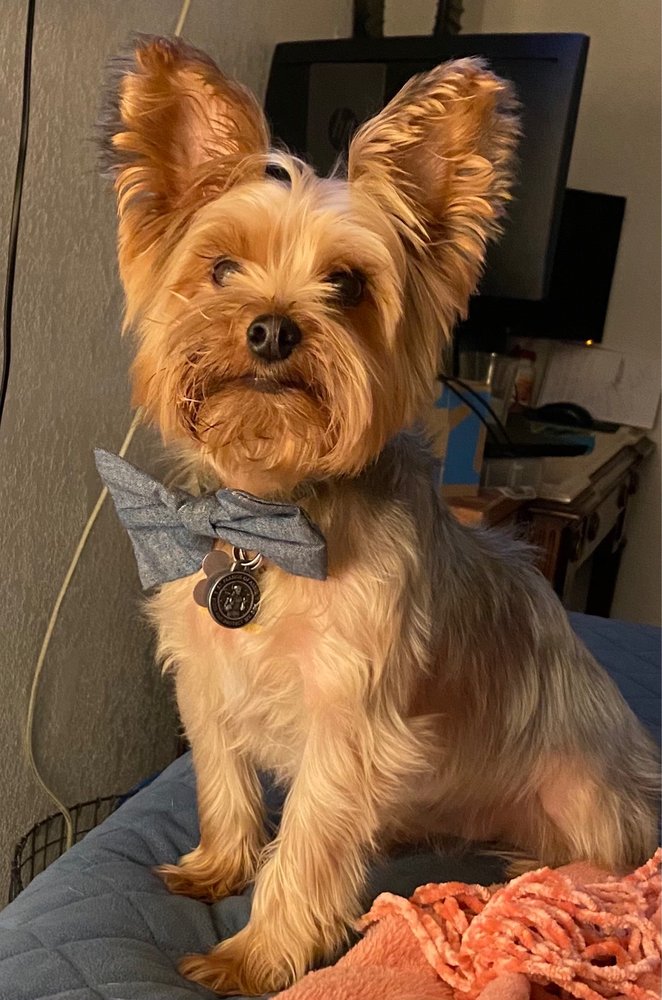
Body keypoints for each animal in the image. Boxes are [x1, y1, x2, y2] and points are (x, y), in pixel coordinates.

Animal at [99, 36, 659, 996]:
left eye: (349, 284)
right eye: (220, 268)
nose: (270, 329)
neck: (272, 512)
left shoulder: (347, 717)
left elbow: (307, 847)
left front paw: (258, 955)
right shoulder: (208, 676)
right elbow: (221, 779)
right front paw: (218, 865)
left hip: (586, 798)